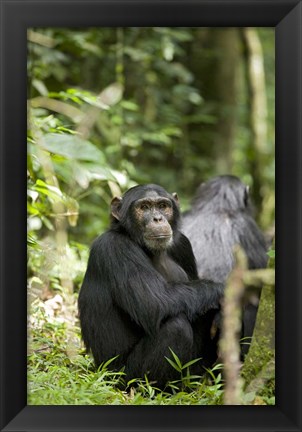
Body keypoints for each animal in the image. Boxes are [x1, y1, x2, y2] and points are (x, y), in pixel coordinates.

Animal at [78, 182, 224, 388]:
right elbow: (153, 302)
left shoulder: (183, 244)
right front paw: (227, 290)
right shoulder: (115, 247)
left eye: (163, 206)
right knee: (176, 327)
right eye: (144, 207)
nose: (157, 218)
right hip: (123, 378)